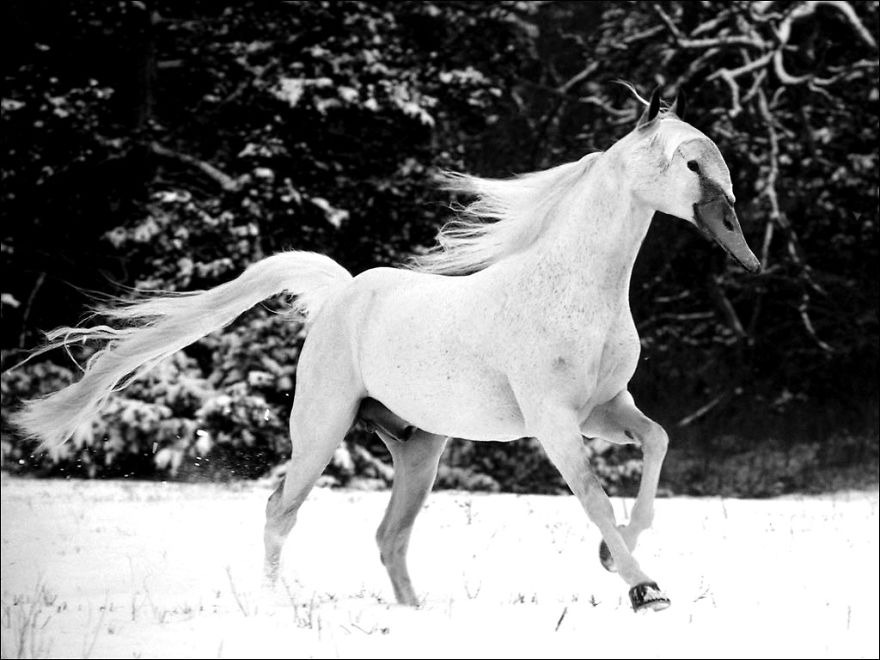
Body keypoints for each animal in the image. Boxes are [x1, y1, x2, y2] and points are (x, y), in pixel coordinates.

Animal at [12, 87, 760, 612]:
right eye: (691, 163)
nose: (744, 251)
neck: (576, 288)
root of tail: (340, 293)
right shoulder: (553, 419)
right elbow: (594, 497)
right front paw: (644, 589)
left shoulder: (605, 408)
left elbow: (657, 443)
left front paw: (615, 561)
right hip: (320, 428)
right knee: (280, 511)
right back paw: (274, 607)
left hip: (419, 449)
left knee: (388, 537)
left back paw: (414, 615)